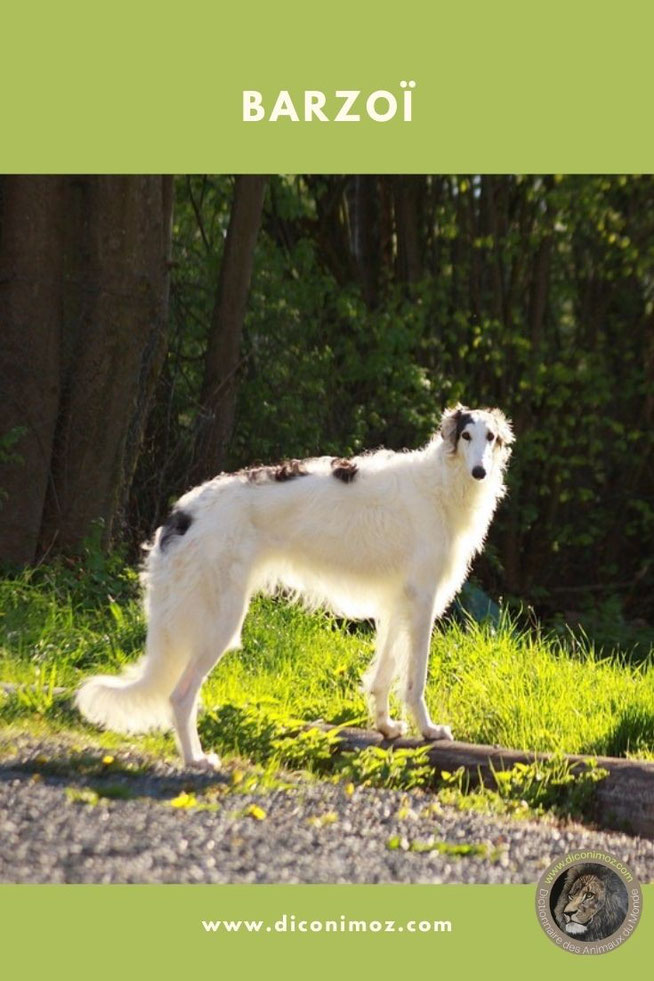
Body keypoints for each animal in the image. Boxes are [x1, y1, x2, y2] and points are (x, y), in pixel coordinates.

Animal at [77, 404, 516, 764]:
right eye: (466, 435)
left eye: (491, 438)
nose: (480, 471)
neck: (440, 485)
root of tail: (183, 514)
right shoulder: (423, 601)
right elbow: (414, 681)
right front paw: (429, 730)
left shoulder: (398, 604)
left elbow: (382, 676)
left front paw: (386, 727)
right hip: (220, 622)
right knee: (179, 696)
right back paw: (197, 760)